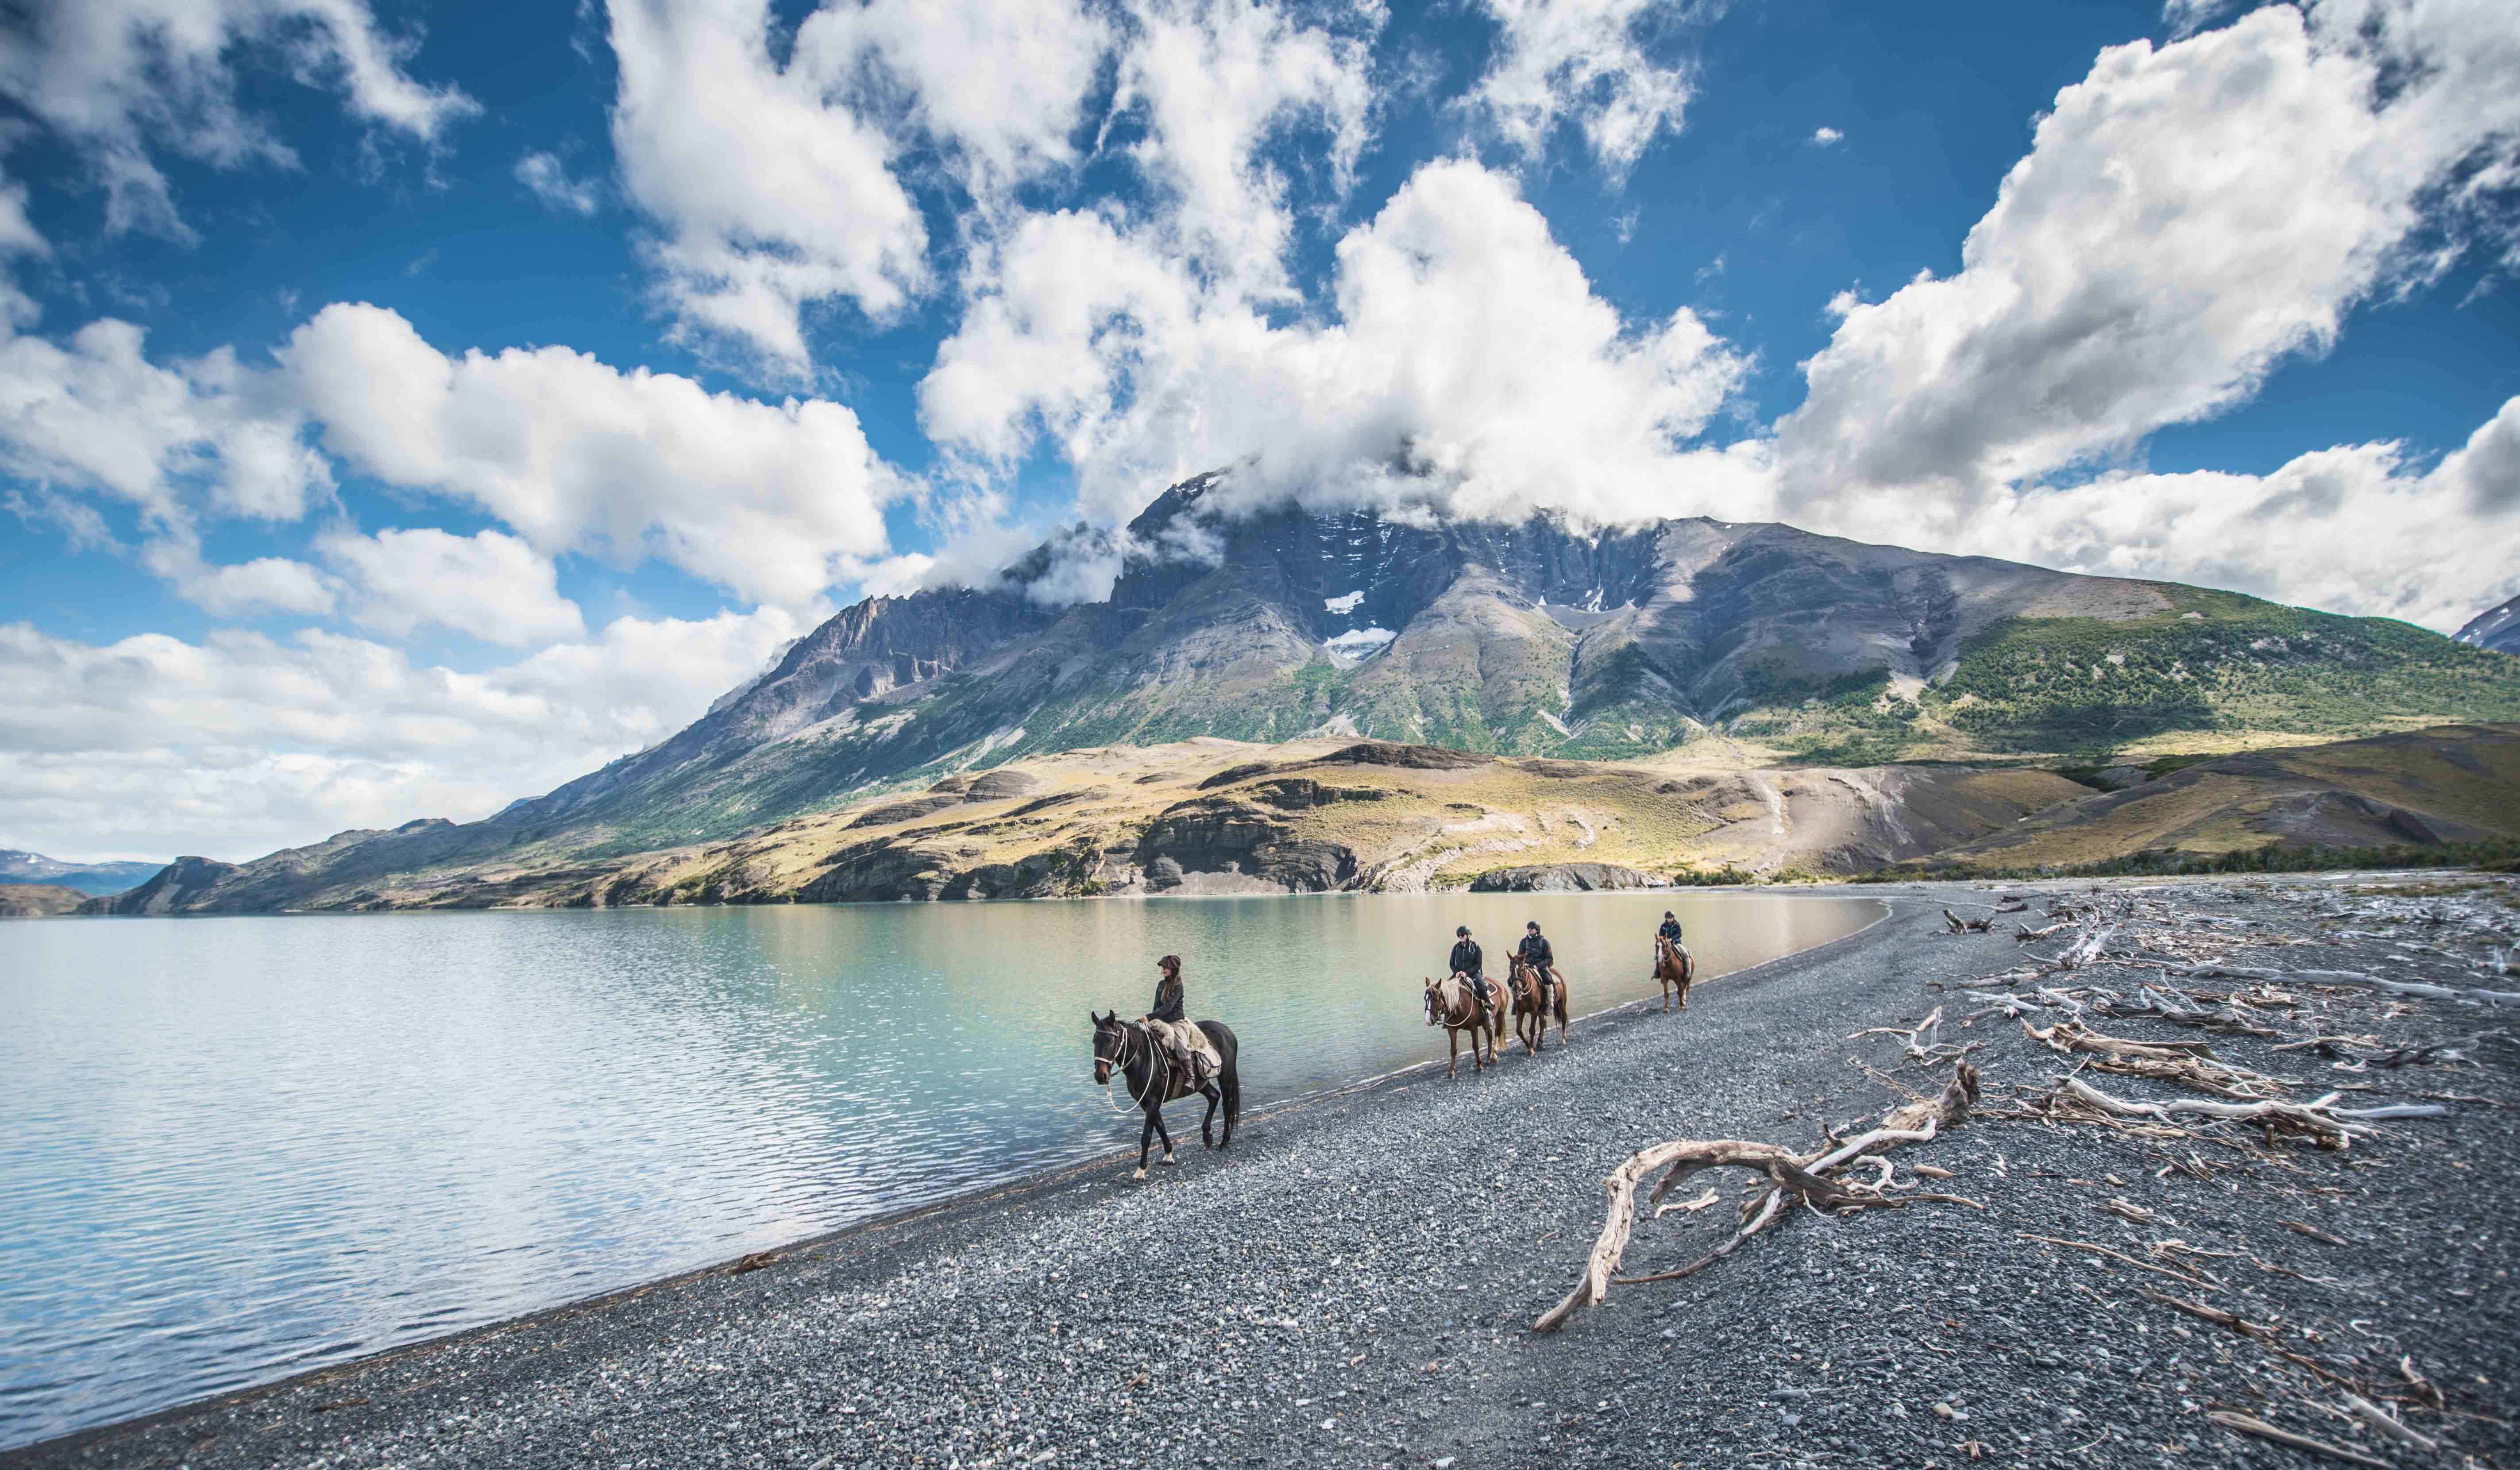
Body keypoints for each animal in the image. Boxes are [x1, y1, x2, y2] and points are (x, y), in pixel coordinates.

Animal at [1088, 1013, 1235, 1185]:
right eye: (1095, 1041)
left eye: (1111, 1041)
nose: (1101, 1076)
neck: (1142, 1059)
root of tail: (1227, 1031)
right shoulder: (1147, 1103)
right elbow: (1161, 1128)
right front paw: (1168, 1156)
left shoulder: (1153, 1101)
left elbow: (1147, 1136)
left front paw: (1141, 1171)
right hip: (1202, 1084)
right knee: (1214, 1097)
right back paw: (1207, 1137)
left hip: (1226, 1075)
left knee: (1227, 1105)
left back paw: (1224, 1142)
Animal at [1421, 978, 1492, 1079]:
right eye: (1425, 999)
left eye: (1436, 999)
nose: (1429, 1021)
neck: (1458, 1007)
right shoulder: (1452, 1030)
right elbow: (1453, 1050)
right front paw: (1452, 1072)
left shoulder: (1473, 1028)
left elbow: (1476, 1046)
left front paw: (1479, 1066)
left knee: (1490, 1037)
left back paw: (1491, 1058)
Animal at [1502, 953, 1562, 1059]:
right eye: (1511, 969)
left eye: (1522, 969)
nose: (1517, 988)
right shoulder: (1520, 1011)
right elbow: (1519, 1030)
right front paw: (1528, 1044)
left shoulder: (1534, 1011)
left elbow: (1532, 1030)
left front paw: (1530, 1050)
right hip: (1540, 1011)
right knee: (1543, 1023)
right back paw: (1539, 1043)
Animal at [1653, 933, 1693, 1013]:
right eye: (1656, 946)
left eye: (1664, 946)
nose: (1660, 960)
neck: (1670, 964)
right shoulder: (1665, 979)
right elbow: (1666, 993)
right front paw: (1667, 1009)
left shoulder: (1678, 978)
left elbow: (1680, 992)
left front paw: (1681, 1006)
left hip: (1688, 978)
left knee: (1685, 989)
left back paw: (1684, 1003)